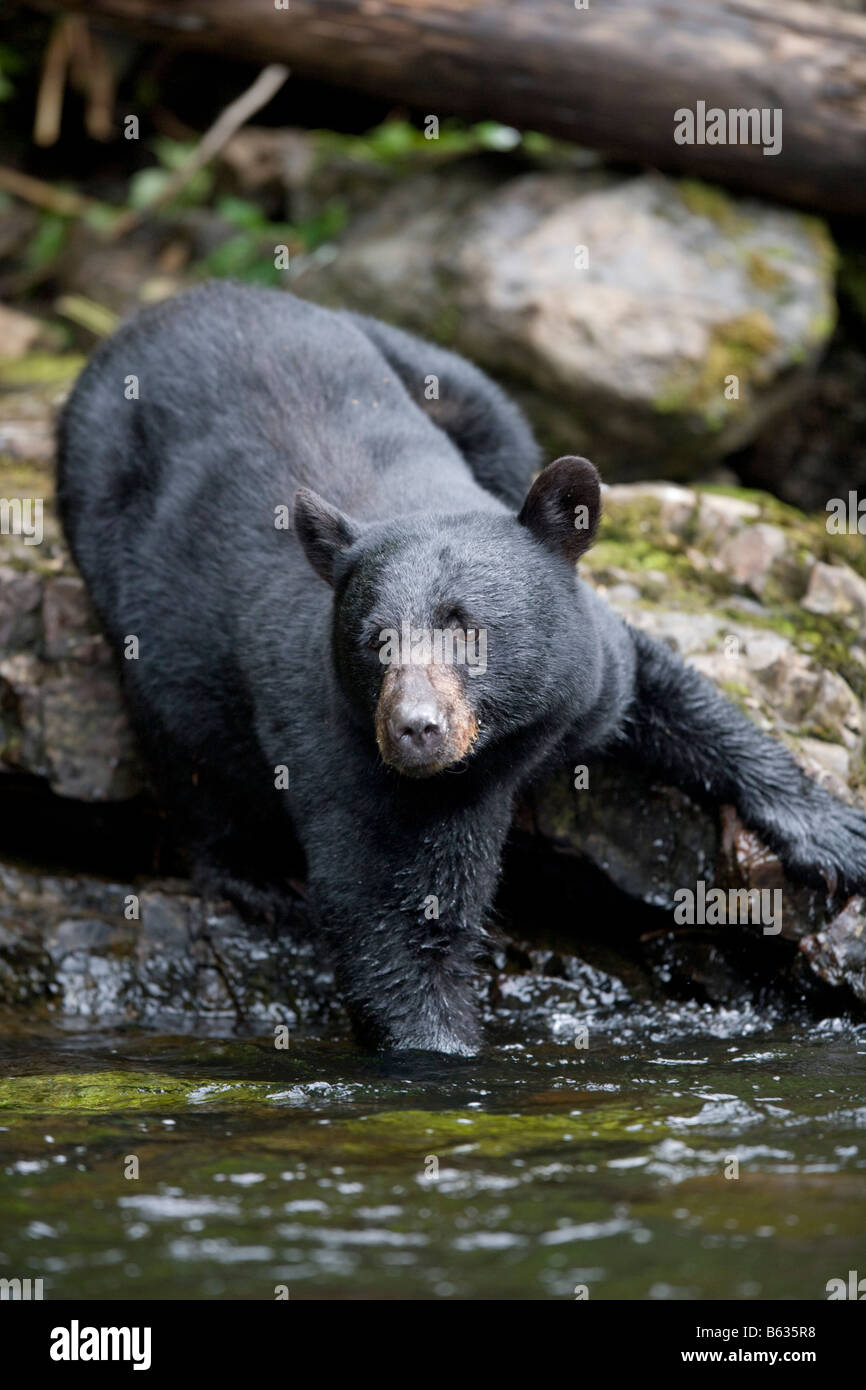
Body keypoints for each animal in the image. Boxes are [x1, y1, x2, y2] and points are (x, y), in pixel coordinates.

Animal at [57, 281, 866, 1054]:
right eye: (376, 641)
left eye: (470, 632)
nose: (414, 728)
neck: (508, 743)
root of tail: (158, 311)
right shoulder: (349, 752)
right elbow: (396, 922)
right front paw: (438, 1050)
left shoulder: (582, 666)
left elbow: (664, 690)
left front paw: (831, 833)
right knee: (183, 745)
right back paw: (254, 879)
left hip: (437, 371)